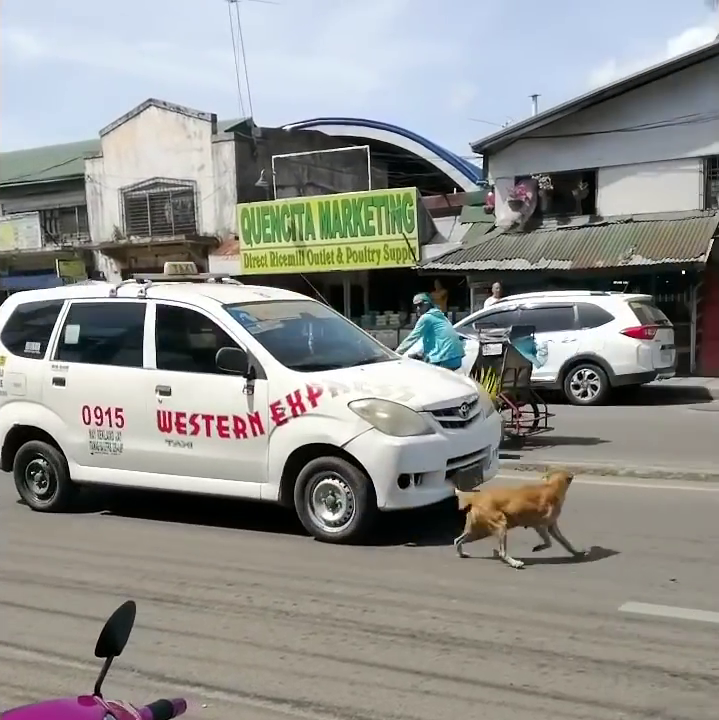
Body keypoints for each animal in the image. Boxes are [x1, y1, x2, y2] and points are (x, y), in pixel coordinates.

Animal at [456, 470, 584, 572]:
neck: (552, 486)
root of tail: (474, 498)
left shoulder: (552, 526)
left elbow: (565, 542)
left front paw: (576, 552)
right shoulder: (539, 526)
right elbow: (548, 542)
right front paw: (538, 548)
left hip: (478, 532)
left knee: (457, 540)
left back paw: (462, 554)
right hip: (500, 525)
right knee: (502, 552)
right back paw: (515, 563)